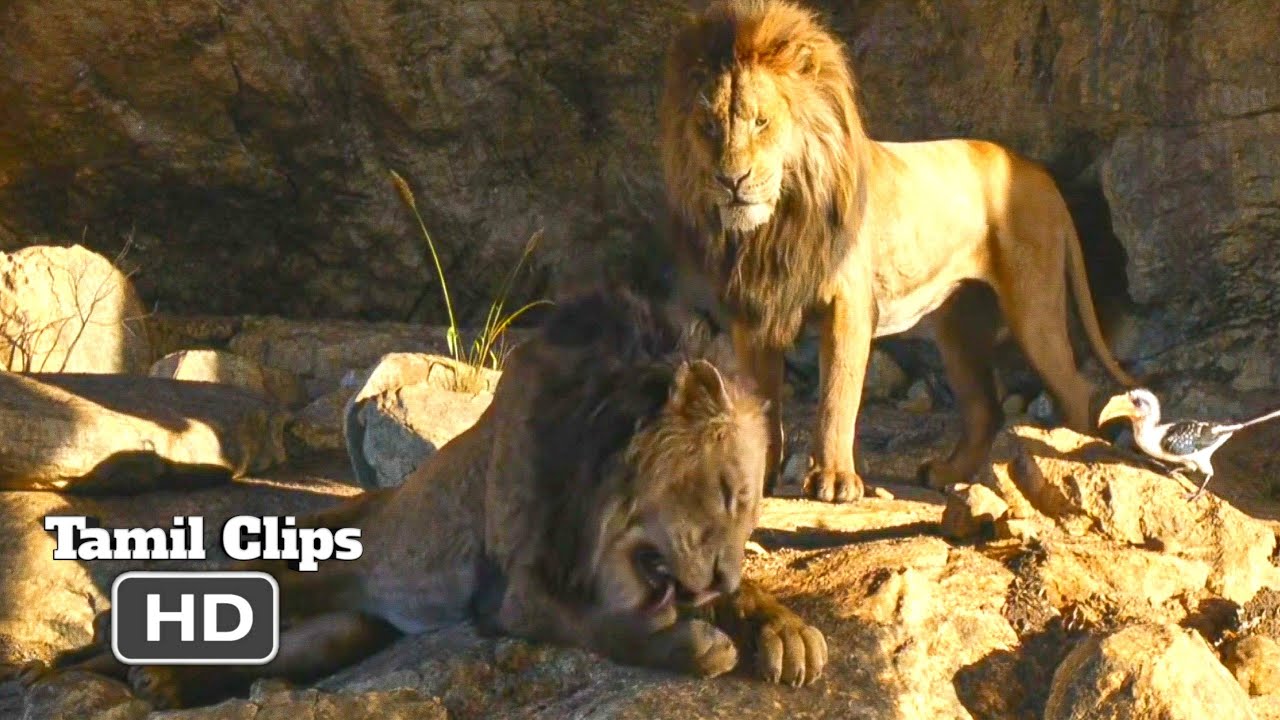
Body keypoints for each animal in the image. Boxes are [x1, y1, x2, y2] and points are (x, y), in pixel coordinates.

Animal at [21, 289, 827, 709]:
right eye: (726, 491)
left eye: (753, 508)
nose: (717, 578)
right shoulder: (512, 592)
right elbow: (601, 624)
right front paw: (697, 642)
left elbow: (747, 600)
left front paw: (785, 631)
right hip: (283, 576)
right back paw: (96, 673)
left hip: (341, 633)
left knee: (262, 662)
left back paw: (162, 683)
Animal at [659, 0, 1136, 503]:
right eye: (708, 126)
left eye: (761, 121)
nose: (731, 180)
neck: (774, 227)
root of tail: (1041, 176)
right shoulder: (754, 313)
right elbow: (764, 402)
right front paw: (759, 483)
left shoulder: (849, 305)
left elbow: (837, 396)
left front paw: (834, 481)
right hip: (959, 328)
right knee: (984, 406)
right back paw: (948, 473)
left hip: (1033, 309)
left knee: (1073, 389)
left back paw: (1073, 456)